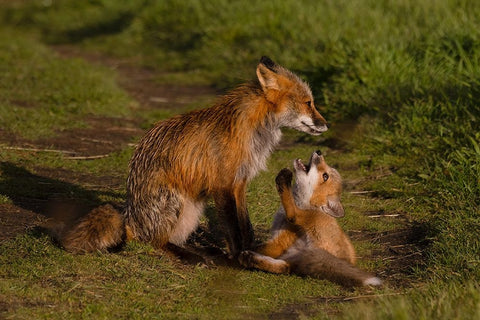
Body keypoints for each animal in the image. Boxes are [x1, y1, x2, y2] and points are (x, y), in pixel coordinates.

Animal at [54, 57, 328, 256]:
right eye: (308, 103)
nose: (326, 125)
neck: (253, 130)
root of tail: (130, 217)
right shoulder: (222, 184)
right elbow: (233, 228)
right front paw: (239, 258)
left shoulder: (239, 183)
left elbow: (245, 226)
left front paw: (250, 251)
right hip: (174, 201)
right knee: (151, 241)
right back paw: (189, 255)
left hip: (193, 210)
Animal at [238, 151, 380, 286]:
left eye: (325, 176)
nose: (319, 152)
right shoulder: (278, 243)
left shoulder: (281, 241)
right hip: (293, 256)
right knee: (284, 267)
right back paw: (249, 258)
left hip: (311, 220)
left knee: (293, 215)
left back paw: (283, 180)